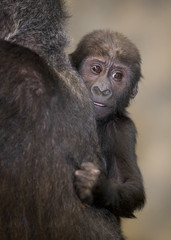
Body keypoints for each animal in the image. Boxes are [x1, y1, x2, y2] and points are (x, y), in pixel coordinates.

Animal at [71, 30, 146, 218]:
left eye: (117, 76)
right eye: (96, 69)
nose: (102, 90)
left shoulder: (123, 129)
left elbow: (131, 184)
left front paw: (97, 187)